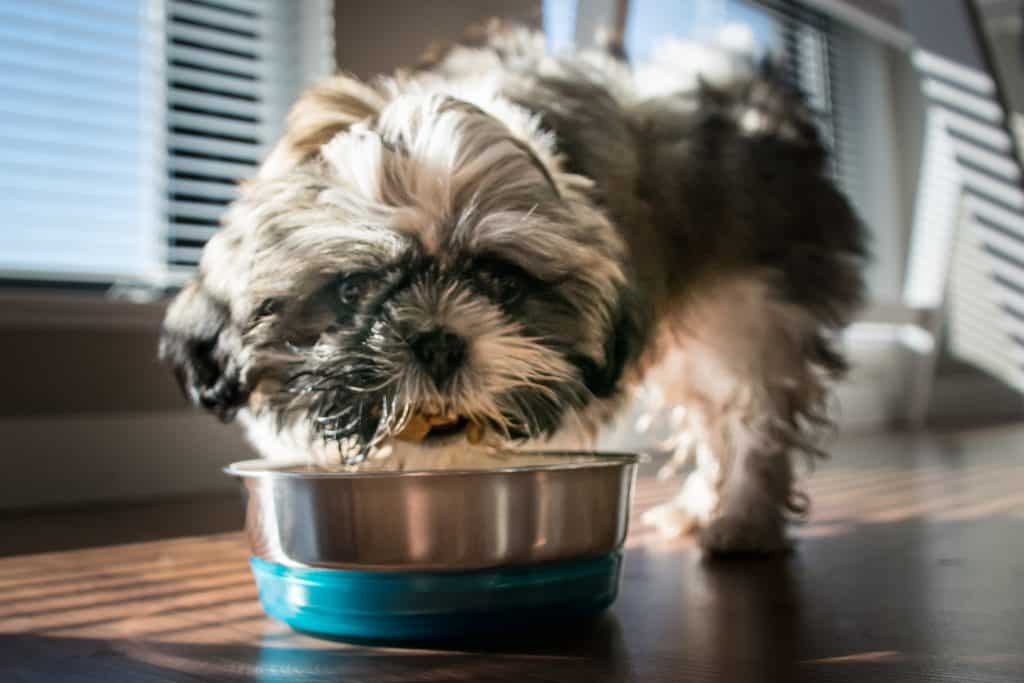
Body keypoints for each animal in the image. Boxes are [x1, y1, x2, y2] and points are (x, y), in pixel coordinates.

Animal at [159, 22, 864, 557]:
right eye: (353, 288)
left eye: (502, 280)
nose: (438, 342)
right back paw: (703, 510)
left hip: (753, 305)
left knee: (754, 409)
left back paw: (743, 519)